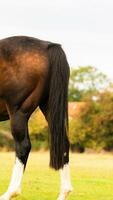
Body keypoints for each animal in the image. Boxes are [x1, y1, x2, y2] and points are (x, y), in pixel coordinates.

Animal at [0, 36, 72, 200]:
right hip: (49, 106)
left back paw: (10, 192)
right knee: (63, 143)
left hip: (19, 112)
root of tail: (48, 46)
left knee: (23, 146)